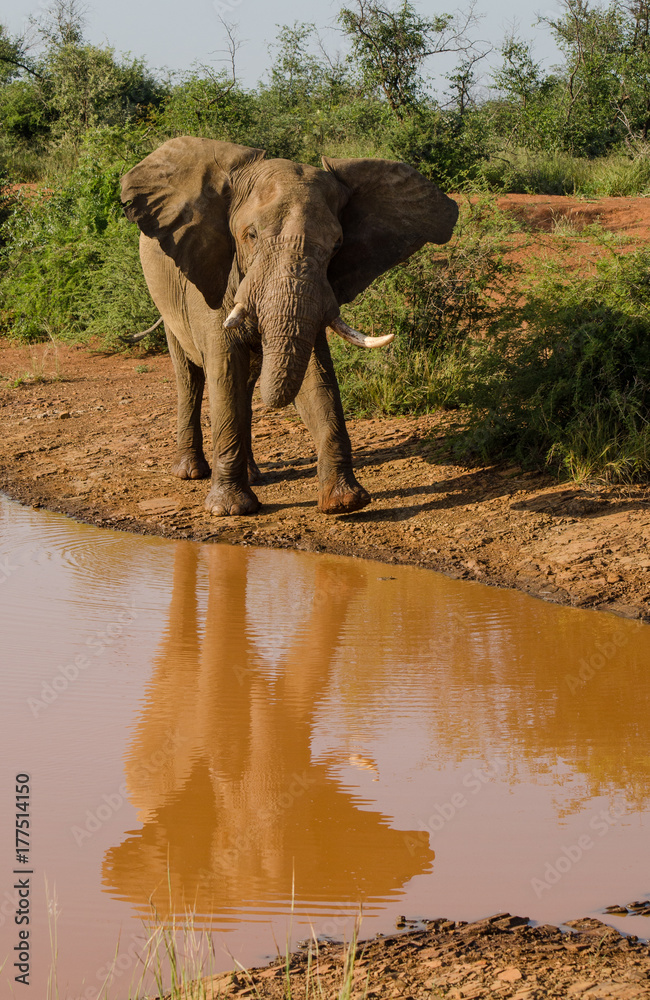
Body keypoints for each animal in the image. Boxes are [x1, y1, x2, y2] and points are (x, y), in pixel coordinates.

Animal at [120, 138, 458, 516]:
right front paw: (229, 510)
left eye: (337, 245)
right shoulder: (209, 273)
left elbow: (316, 378)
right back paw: (191, 472)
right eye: (250, 235)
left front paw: (344, 502)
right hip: (166, 300)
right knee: (191, 378)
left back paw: (254, 475)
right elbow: (225, 369)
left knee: (247, 384)